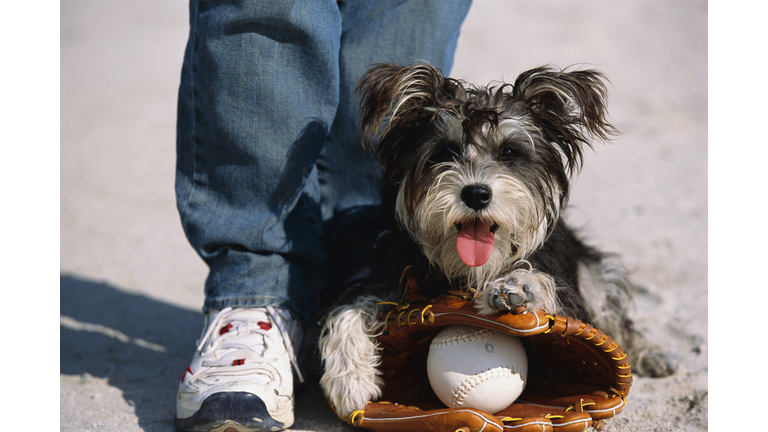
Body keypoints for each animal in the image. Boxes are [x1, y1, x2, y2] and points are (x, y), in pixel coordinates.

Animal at [318, 62, 680, 416]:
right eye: (444, 151)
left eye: (509, 152)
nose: (476, 194)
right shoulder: (390, 276)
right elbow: (350, 308)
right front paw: (349, 380)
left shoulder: (572, 297)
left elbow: (554, 292)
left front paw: (517, 286)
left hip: (594, 269)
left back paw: (650, 354)